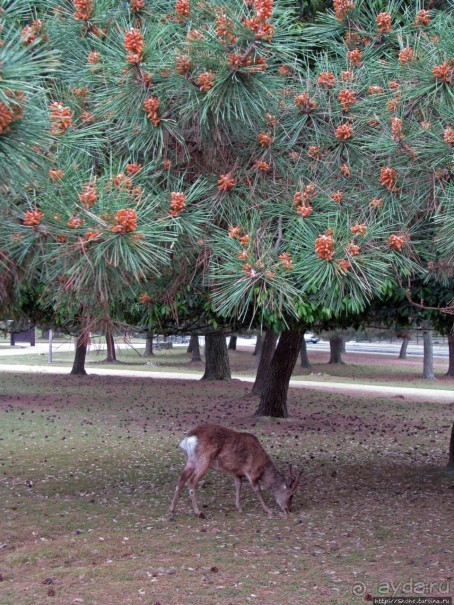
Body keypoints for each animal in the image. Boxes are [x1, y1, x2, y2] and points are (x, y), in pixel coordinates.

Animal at [168, 422, 304, 516]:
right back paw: (198, 512)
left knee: (181, 480)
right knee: (191, 481)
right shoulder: (251, 471)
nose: (289, 509)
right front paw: (268, 510)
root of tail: (188, 438)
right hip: (204, 459)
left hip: (191, 460)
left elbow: (238, 486)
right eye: (291, 495)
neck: (262, 468)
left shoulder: (237, 472)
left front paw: (239, 507)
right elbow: (257, 489)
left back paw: (171, 510)